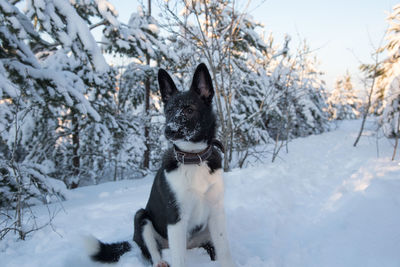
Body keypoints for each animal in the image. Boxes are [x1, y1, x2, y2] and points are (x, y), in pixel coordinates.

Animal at [84, 64, 234, 267]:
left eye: (189, 110)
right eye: (169, 111)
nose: (169, 130)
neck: (194, 159)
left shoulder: (216, 212)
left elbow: (224, 251)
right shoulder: (176, 219)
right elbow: (178, 260)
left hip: (204, 234)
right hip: (142, 218)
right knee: (152, 251)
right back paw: (160, 261)